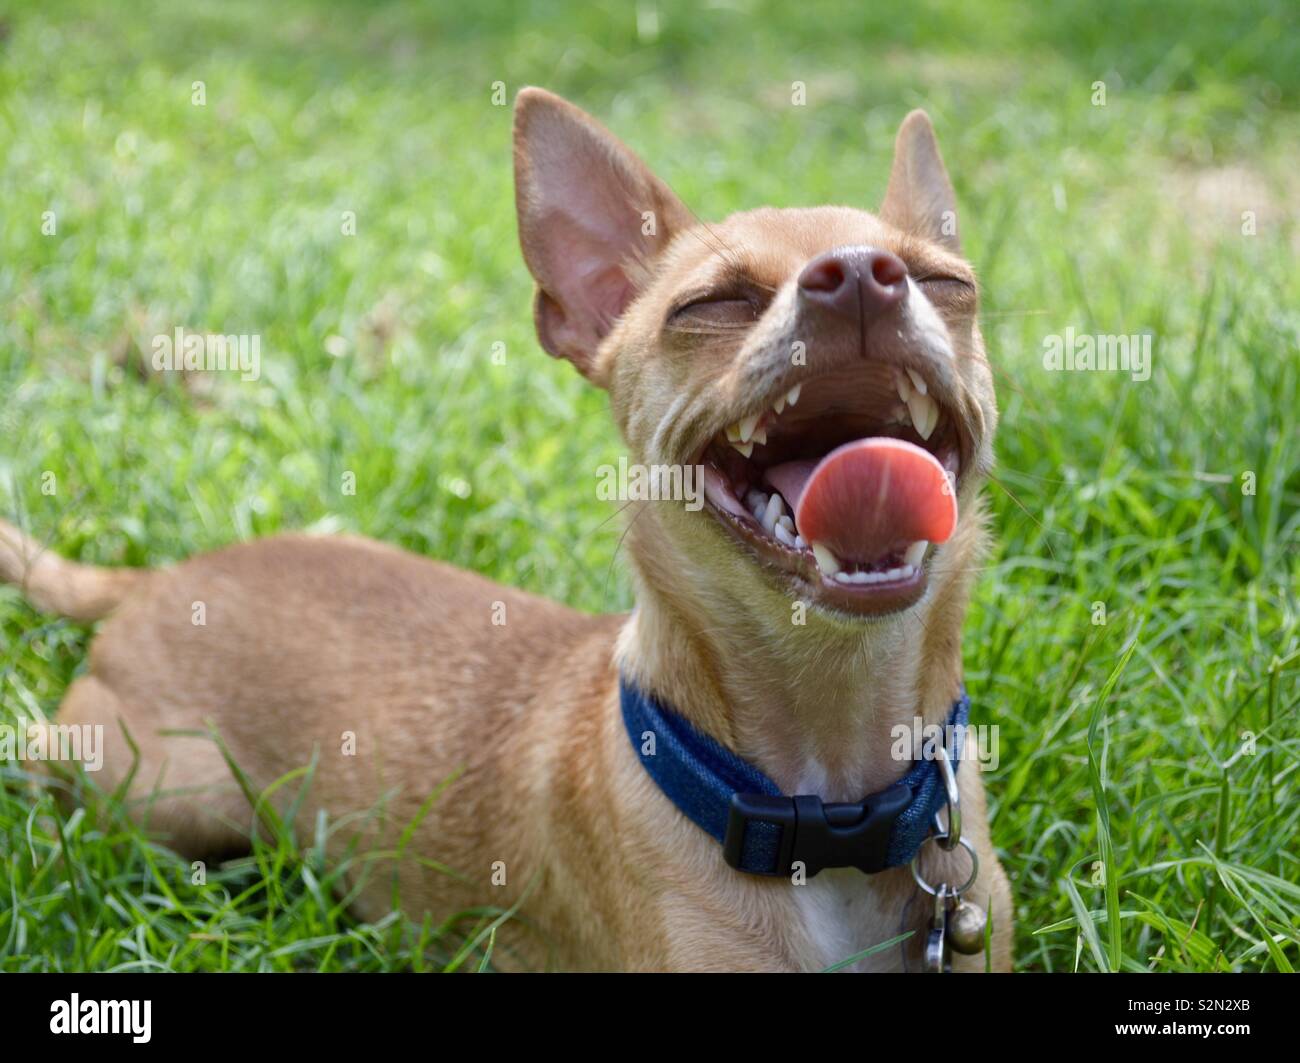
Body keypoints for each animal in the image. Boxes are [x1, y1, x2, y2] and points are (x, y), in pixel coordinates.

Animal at [0, 89, 1008, 966]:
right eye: (710, 304)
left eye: (947, 283)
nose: (860, 279)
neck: (833, 811)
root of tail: (166, 575)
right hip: (169, 793)